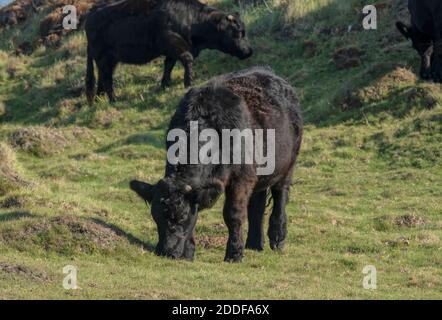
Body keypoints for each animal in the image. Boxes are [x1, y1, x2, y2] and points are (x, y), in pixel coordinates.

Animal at [85, 0, 254, 104]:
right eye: (239, 32)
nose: (249, 51)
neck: (191, 20)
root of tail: (91, 12)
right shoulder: (173, 43)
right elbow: (187, 59)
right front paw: (188, 82)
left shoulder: (172, 50)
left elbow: (168, 65)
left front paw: (165, 85)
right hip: (104, 58)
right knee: (107, 79)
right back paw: (114, 99)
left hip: (109, 60)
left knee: (102, 77)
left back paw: (100, 98)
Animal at [129, 67, 304, 262]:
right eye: (155, 216)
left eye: (182, 217)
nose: (165, 251)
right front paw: (188, 253)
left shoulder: (241, 178)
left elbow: (233, 214)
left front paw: (234, 254)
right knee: (257, 204)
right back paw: (254, 243)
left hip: (288, 164)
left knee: (281, 194)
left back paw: (277, 238)